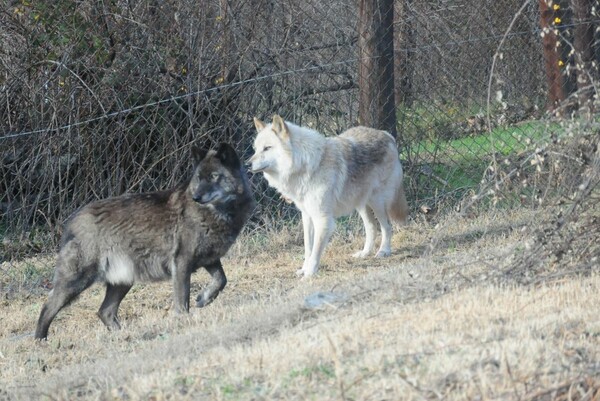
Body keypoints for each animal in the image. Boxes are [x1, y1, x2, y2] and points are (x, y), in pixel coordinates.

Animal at [35, 143, 253, 338]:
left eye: (214, 176)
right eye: (199, 178)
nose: (197, 197)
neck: (217, 213)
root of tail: (73, 220)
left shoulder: (209, 260)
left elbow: (221, 280)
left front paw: (204, 299)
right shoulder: (182, 263)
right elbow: (182, 300)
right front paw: (184, 322)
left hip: (122, 282)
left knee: (105, 311)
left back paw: (122, 336)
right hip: (77, 281)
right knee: (47, 307)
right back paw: (40, 341)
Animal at [248, 115, 408, 276]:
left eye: (267, 148)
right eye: (255, 149)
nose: (247, 164)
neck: (308, 166)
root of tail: (386, 134)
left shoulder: (322, 219)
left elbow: (316, 251)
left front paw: (309, 274)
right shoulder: (307, 216)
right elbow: (308, 248)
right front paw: (304, 269)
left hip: (377, 203)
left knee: (386, 226)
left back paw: (384, 251)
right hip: (361, 204)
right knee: (372, 227)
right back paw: (364, 253)